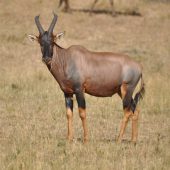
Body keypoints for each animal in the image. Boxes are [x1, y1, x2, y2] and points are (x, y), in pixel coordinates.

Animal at [28, 13, 145, 143]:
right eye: (40, 42)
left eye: (52, 41)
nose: (46, 59)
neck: (67, 59)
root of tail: (139, 66)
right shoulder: (67, 93)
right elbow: (69, 113)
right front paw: (69, 139)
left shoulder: (79, 90)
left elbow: (82, 113)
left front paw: (86, 139)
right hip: (121, 91)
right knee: (135, 110)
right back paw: (133, 140)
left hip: (127, 89)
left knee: (127, 111)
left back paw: (118, 140)